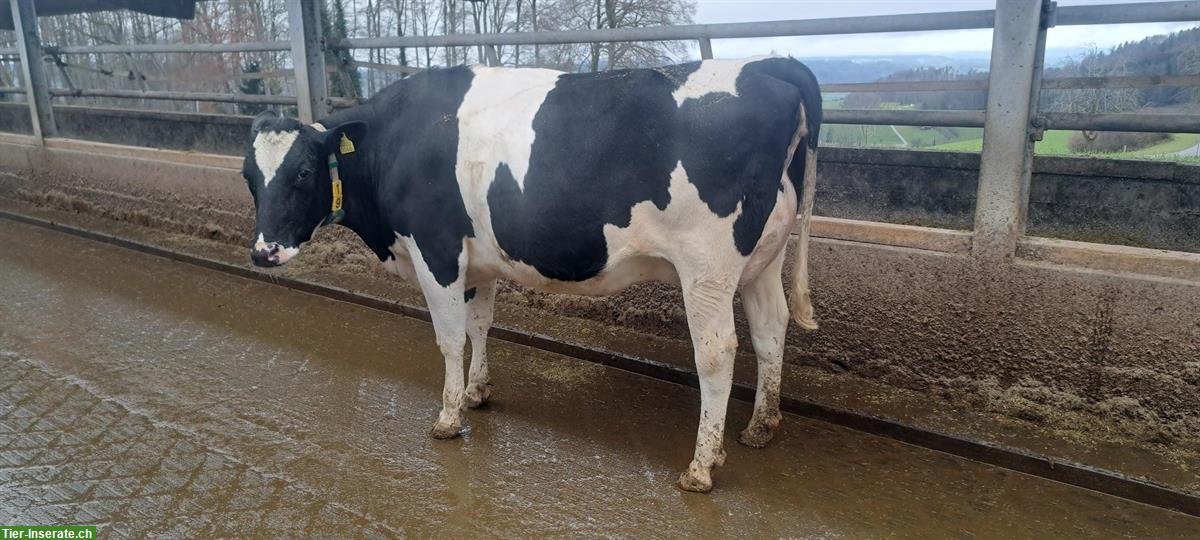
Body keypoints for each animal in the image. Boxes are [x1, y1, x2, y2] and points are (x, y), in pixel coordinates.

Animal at [243, 55, 825, 494]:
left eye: (302, 173)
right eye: (250, 176)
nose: (264, 252)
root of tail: (767, 64)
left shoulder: (437, 252)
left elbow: (450, 337)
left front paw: (448, 417)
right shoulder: (478, 260)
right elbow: (480, 325)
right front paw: (476, 393)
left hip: (708, 266)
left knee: (717, 352)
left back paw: (702, 466)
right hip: (763, 259)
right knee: (770, 330)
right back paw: (761, 426)